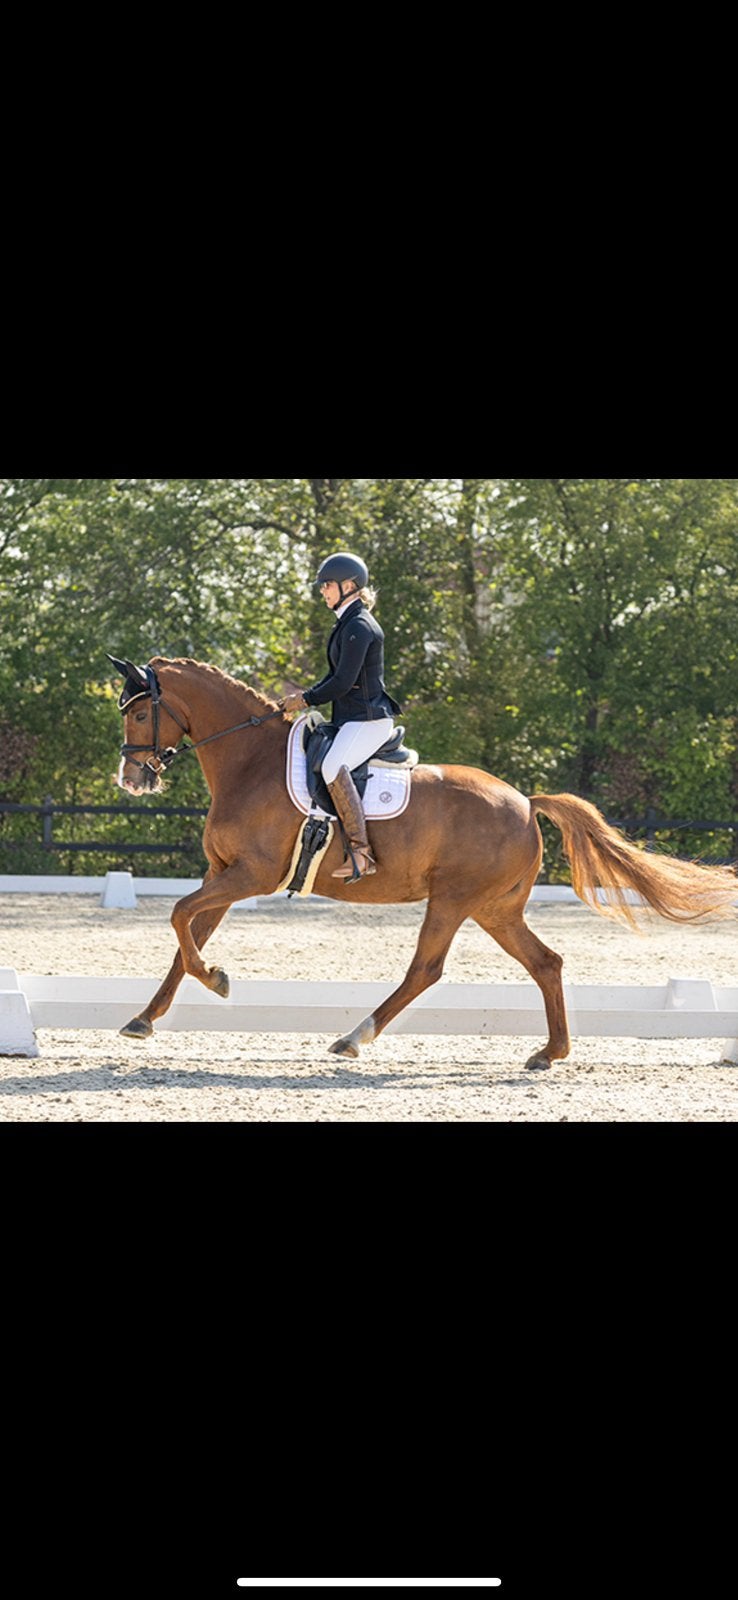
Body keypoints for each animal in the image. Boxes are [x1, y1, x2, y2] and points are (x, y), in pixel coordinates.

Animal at [109, 654, 737, 1069]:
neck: (249, 761)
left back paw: (354, 1037)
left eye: (139, 716)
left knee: (426, 970)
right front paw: (145, 1018)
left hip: (454, 899)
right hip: (495, 908)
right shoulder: (222, 874)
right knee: (546, 963)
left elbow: (179, 920)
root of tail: (524, 801)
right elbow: (184, 940)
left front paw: (217, 981)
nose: (131, 778)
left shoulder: (250, 876)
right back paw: (549, 1052)